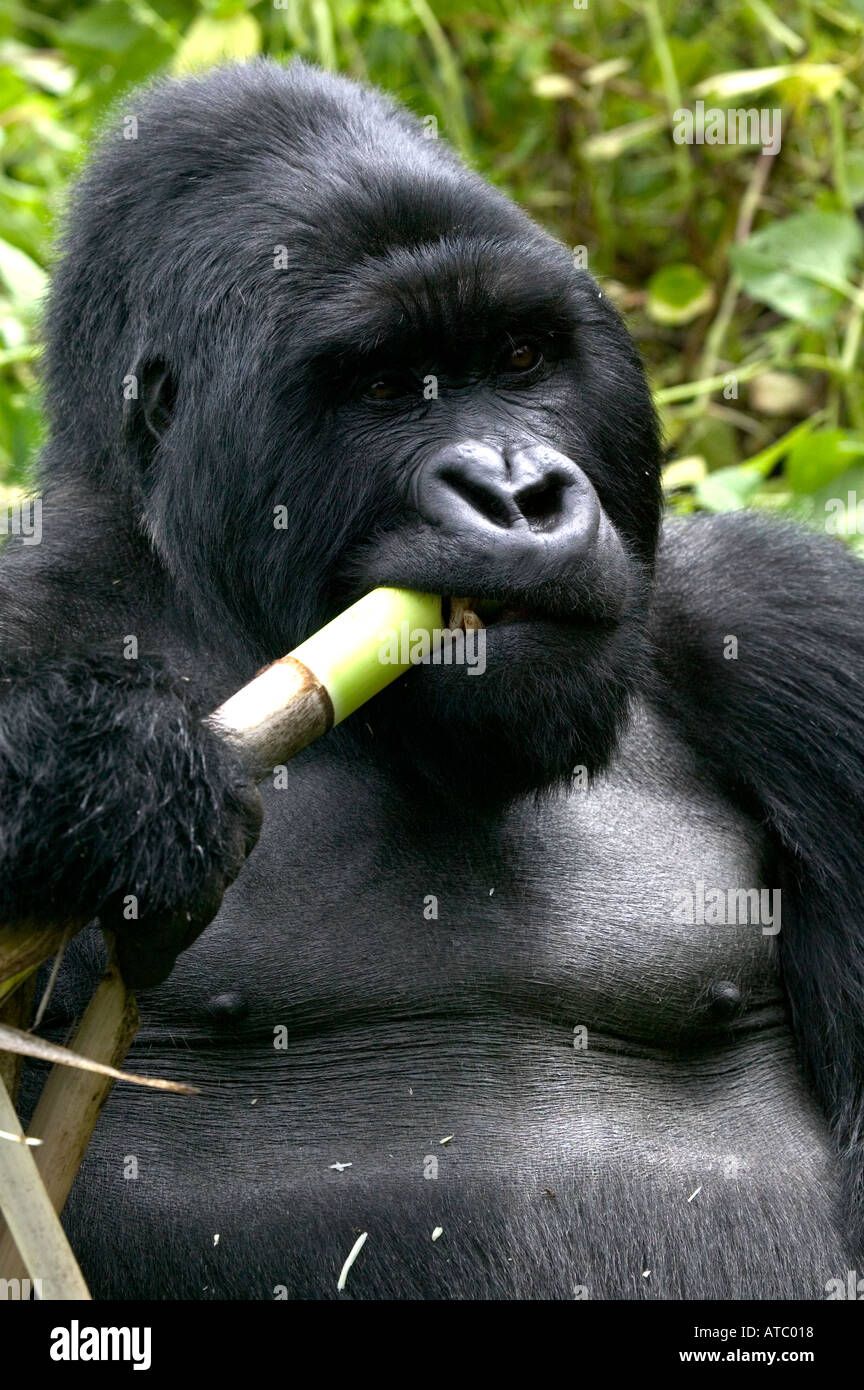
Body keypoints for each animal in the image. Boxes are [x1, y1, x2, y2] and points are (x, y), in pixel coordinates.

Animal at [1, 62, 864, 1301]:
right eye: (383, 386)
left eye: (522, 358)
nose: (517, 494)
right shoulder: (35, 597)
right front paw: (105, 780)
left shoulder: (795, 629)